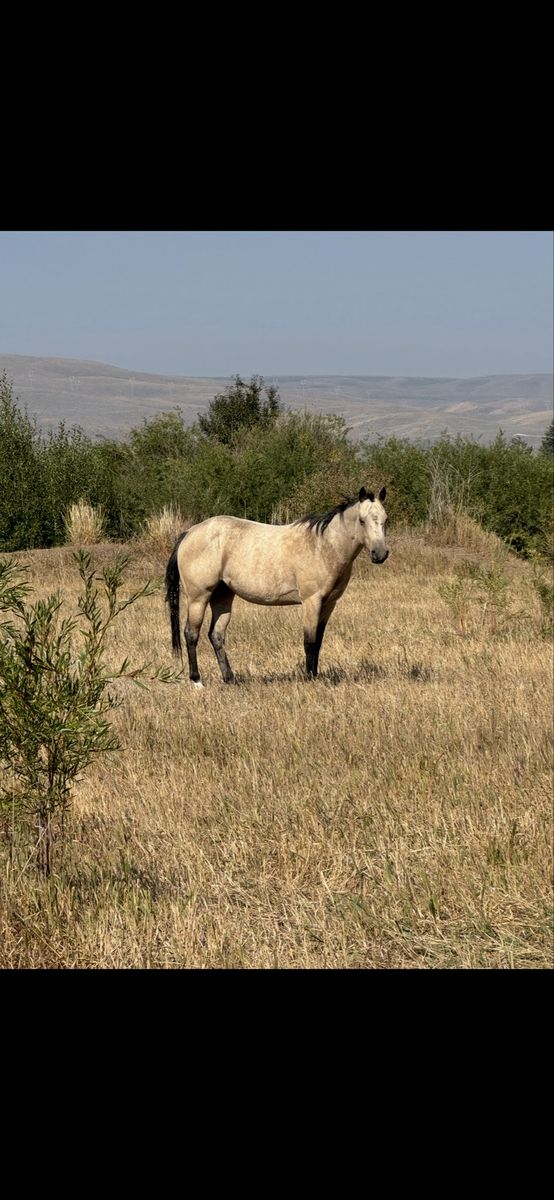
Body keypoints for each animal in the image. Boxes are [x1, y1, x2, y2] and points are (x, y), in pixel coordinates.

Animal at [165, 486, 388, 686]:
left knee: (216, 635)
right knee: (191, 634)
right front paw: (310, 679)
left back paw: (230, 679)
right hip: (198, 598)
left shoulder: (329, 604)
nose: (380, 554)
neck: (323, 546)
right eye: (362, 521)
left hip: (222, 596)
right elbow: (309, 642)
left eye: (385, 519)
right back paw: (196, 681)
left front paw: (315, 675)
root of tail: (189, 532)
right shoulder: (311, 601)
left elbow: (318, 641)